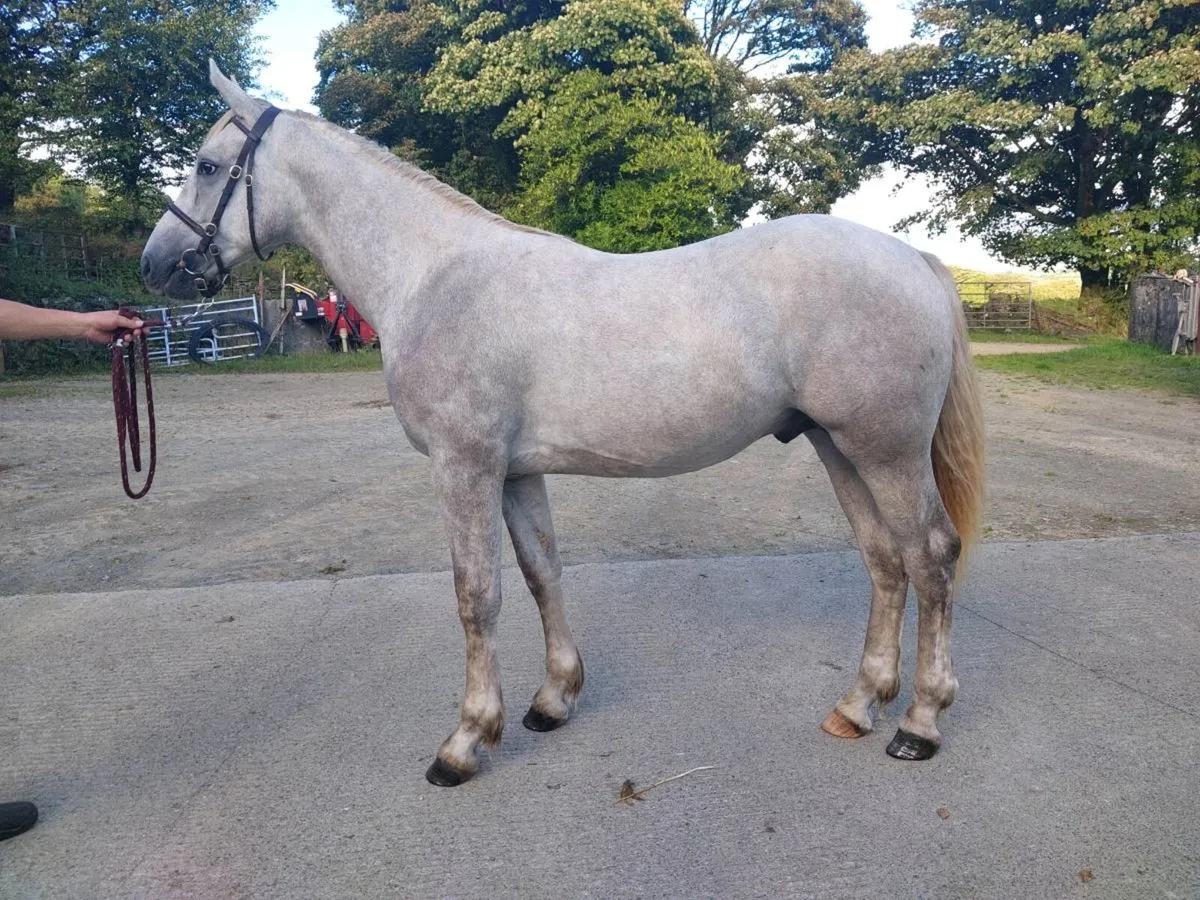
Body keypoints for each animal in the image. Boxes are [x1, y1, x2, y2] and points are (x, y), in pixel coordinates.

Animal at [141, 61, 985, 787]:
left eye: (207, 167)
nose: (155, 265)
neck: (434, 275)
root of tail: (913, 259)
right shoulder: (517, 471)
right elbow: (541, 573)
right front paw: (553, 701)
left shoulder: (465, 465)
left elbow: (476, 596)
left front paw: (465, 742)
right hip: (837, 446)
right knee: (885, 561)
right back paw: (859, 705)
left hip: (886, 451)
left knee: (931, 557)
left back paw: (920, 722)